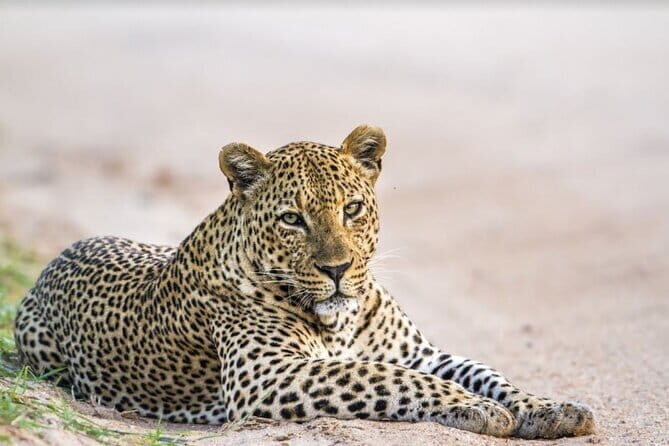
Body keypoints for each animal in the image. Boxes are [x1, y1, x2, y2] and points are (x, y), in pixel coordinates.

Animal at [14, 125, 595, 439]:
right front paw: (478, 408)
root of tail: (55, 258)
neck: (341, 321)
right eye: (293, 219)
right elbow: (383, 378)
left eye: (352, 209)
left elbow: (488, 373)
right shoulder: (267, 373)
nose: (336, 270)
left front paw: (552, 409)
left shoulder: (418, 353)